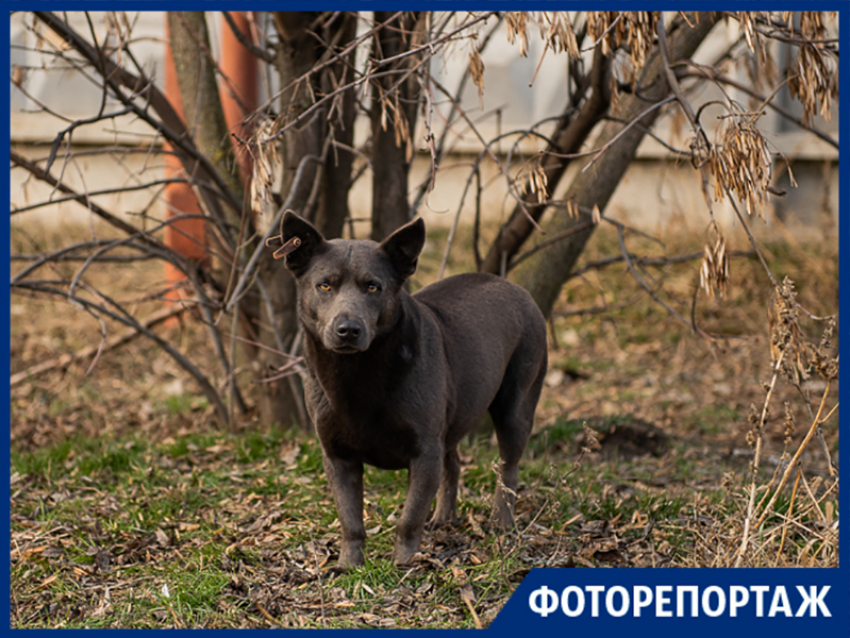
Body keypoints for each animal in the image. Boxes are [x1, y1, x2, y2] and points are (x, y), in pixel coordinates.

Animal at [276, 215, 544, 568]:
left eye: (373, 287)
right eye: (324, 285)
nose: (348, 329)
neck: (358, 374)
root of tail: (517, 288)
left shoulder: (425, 450)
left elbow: (409, 516)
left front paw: (405, 563)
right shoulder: (337, 456)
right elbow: (350, 518)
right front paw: (349, 564)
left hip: (515, 406)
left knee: (507, 469)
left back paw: (502, 523)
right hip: (453, 417)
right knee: (453, 463)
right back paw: (444, 518)